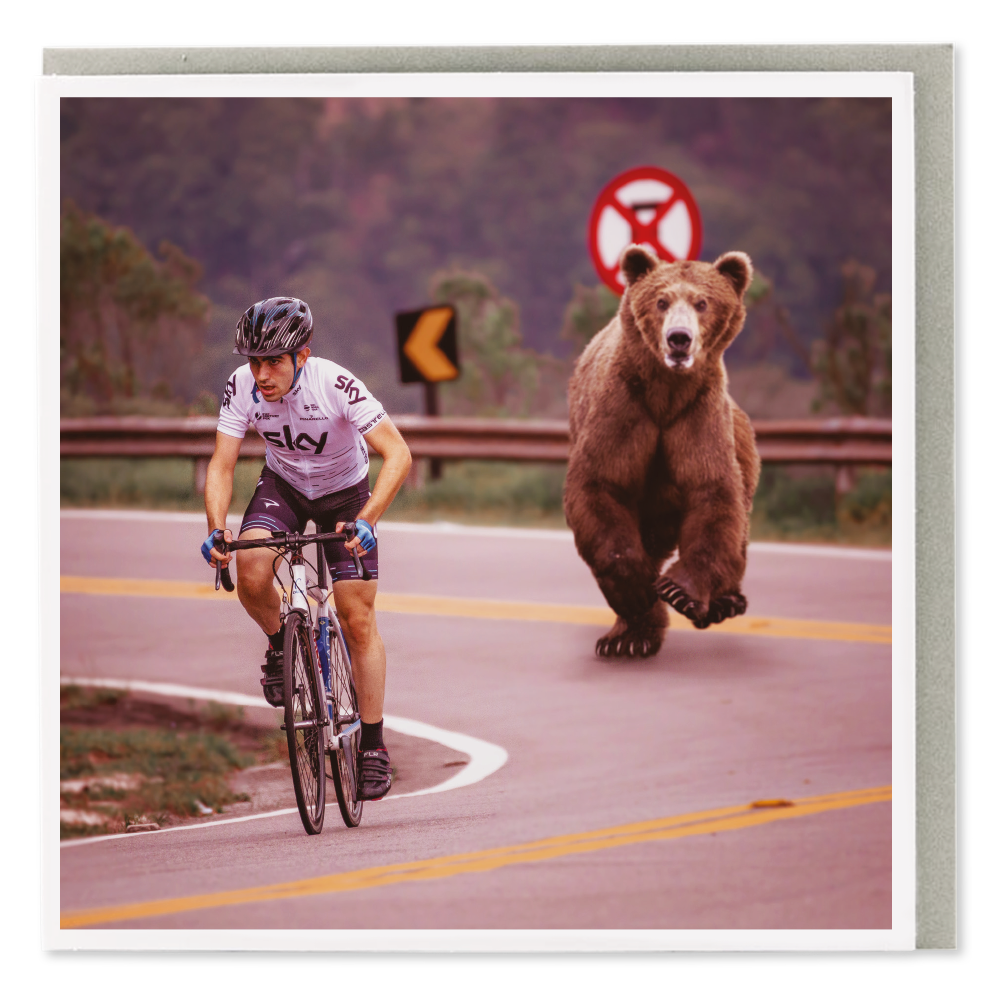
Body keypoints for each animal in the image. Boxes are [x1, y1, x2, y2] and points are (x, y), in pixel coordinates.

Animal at [564, 245, 756, 656]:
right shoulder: (624, 405)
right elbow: (602, 483)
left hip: (741, 437)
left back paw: (724, 601)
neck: (667, 391)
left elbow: (712, 491)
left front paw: (679, 590)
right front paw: (636, 586)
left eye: (702, 302)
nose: (679, 338)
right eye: (661, 300)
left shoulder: (697, 412)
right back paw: (626, 638)